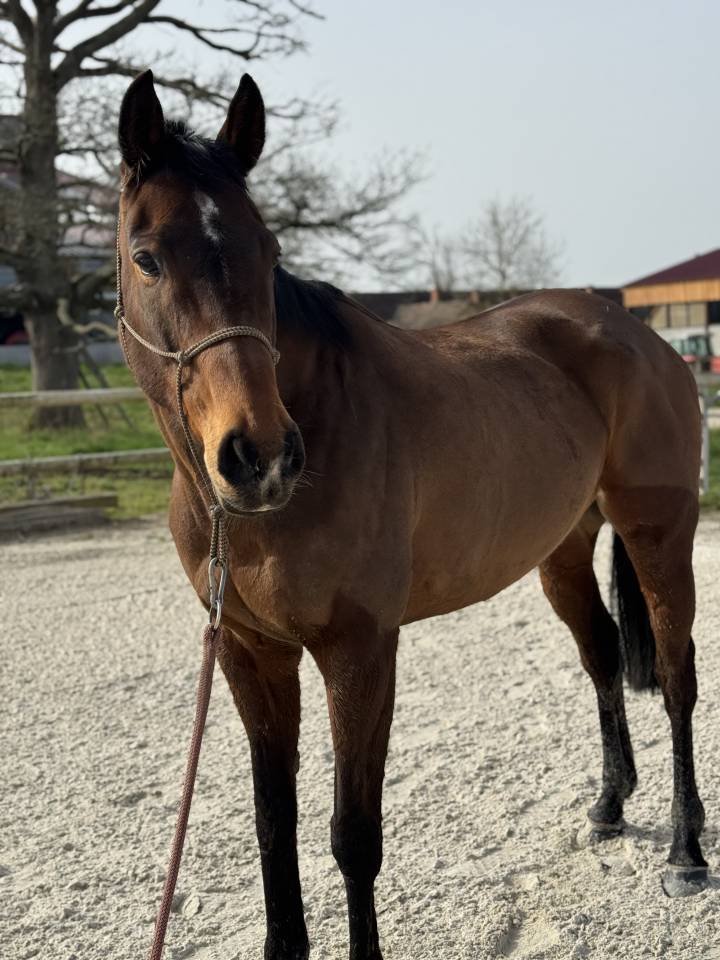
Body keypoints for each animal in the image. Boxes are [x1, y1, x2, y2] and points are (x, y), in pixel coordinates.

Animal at [116, 70, 708, 960]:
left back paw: (684, 850)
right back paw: (610, 806)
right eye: (145, 256)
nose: (260, 457)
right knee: (603, 654)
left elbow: (352, 834)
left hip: (658, 535)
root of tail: (637, 331)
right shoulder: (252, 655)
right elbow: (272, 821)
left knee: (675, 677)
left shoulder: (360, 651)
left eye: (269, 251)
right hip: (562, 551)